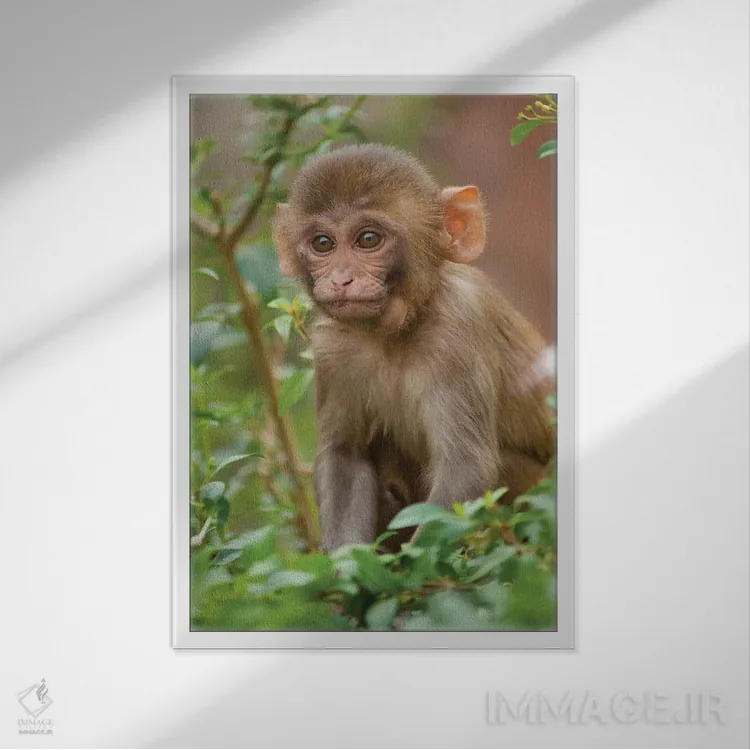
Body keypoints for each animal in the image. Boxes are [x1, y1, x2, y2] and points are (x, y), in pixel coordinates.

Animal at [272, 143, 555, 551]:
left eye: (368, 239)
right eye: (322, 244)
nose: (341, 279)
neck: (395, 333)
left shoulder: (458, 326)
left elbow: (465, 470)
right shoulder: (332, 349)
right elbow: (345, 456)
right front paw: (346, 567)